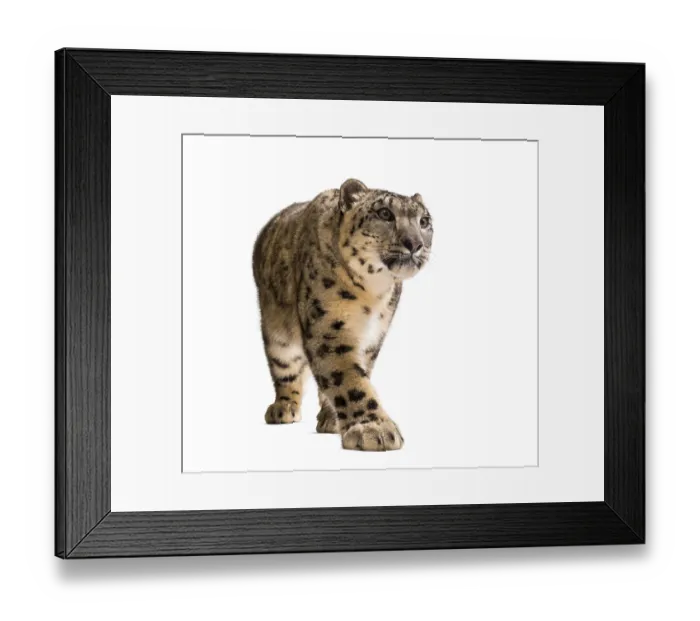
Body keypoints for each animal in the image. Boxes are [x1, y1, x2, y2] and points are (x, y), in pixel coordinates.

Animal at [252, 178, 433, 451]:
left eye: (424, 221)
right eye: (384, 213)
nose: (415, 243)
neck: (374, 294)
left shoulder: (372, 339)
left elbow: (355, 372)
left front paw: (335, 419)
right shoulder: (329, 328)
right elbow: (348, 379)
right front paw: (374, 428)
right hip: (277, 333)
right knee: (286, 369)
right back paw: (283, 408)